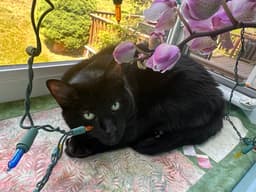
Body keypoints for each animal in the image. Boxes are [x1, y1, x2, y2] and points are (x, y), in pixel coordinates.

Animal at [46, 45, 224, 158]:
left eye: (115, 105)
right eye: (88, 115)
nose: (110, 129)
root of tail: (219, 96)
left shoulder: (133, 124)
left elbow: (119, 139)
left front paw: (79, 145)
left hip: (163, 105)